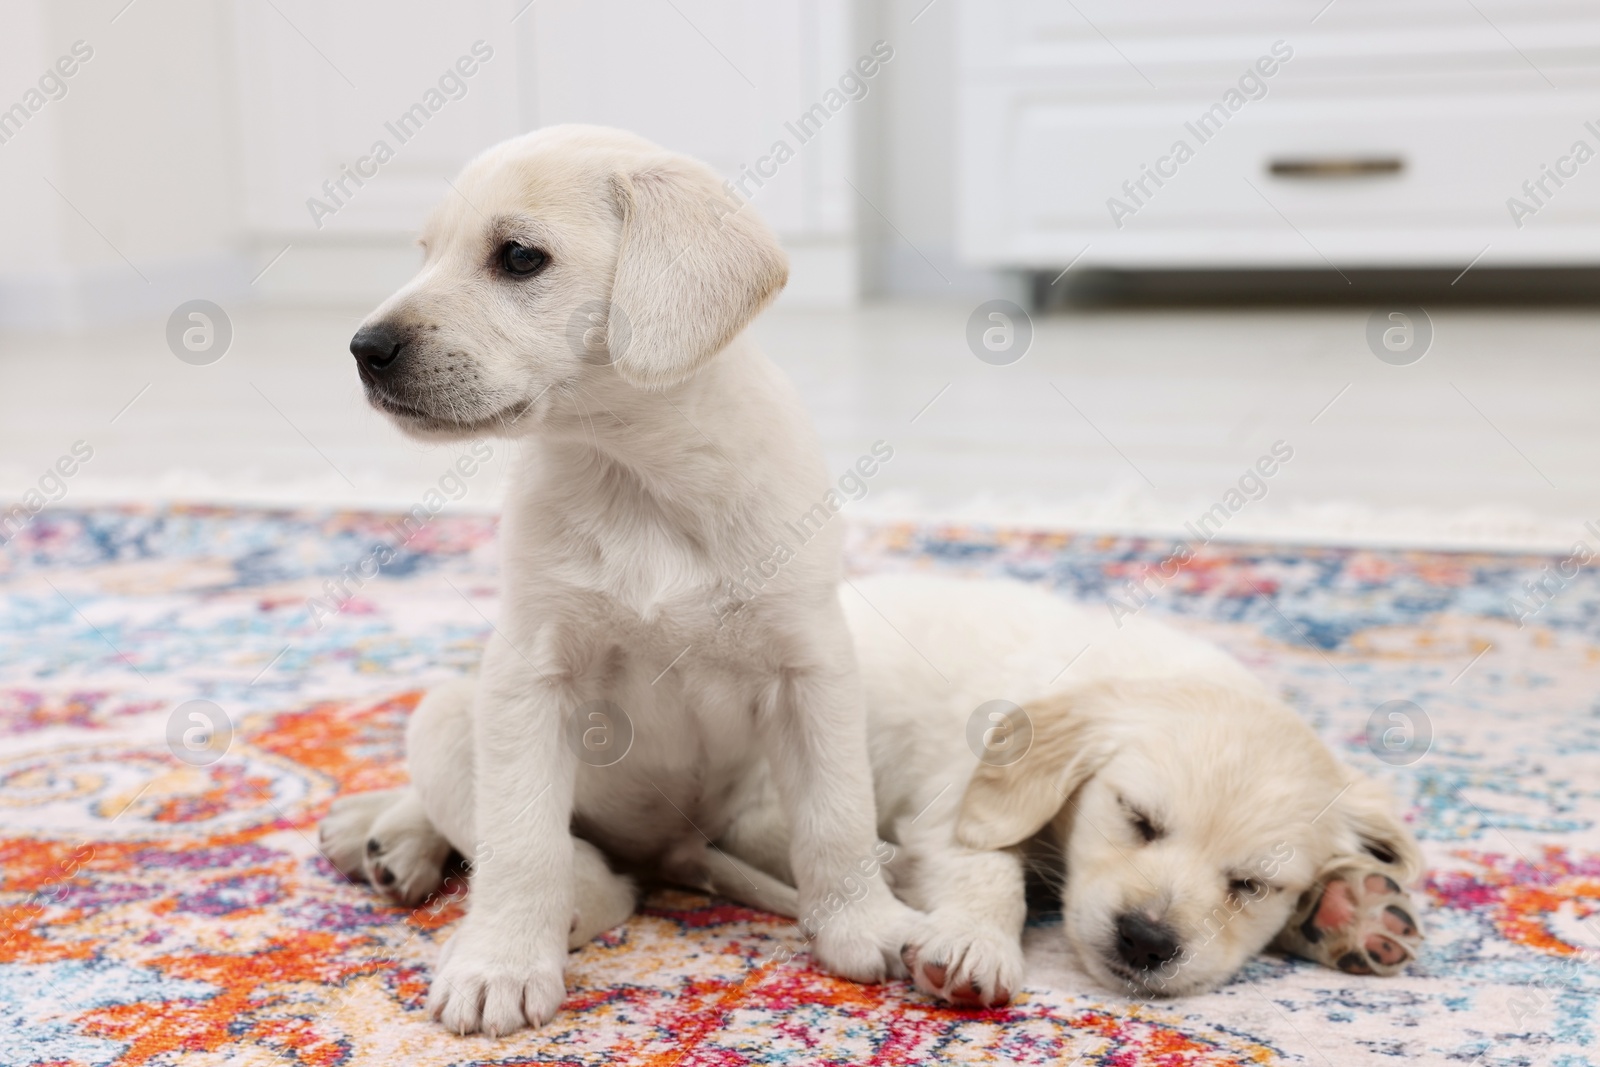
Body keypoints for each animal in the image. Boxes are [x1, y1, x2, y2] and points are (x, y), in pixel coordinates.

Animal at [320, 125, 921, 1036]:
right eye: (425, 253)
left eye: (518, 256)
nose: (366, 349)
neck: (636, 471)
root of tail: (669, 849)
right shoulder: (529, 676)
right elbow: (522, 842)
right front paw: (501, 963)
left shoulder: (810, 667)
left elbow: (836, 816)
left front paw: (867, 926)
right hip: (452, 711)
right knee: (581, 871)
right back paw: (396, 836)